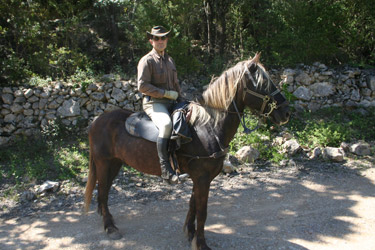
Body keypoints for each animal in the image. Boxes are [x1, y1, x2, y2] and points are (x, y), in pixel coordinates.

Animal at [84, 53, 290, 249]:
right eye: (263, 84)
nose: (285, 112)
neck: (208, 127)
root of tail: (96, 121)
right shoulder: (202, 177)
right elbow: (202, 212)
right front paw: (201, 244)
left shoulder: (201, 178)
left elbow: (193, 206)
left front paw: (190, 234)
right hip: (103, 163)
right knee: (102, 192)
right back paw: (110, 228)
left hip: (114, 164)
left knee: (104, 192)